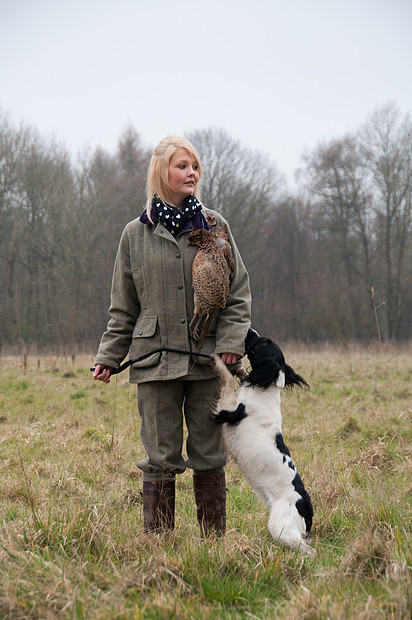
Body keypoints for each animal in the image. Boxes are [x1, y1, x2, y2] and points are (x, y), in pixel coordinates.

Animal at [214, 326, 314, 556]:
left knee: (308, 550)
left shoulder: (230, 412)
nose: (250, 329)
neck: (266, 389)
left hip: (280, 527)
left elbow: (226, 382)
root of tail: (305, 507)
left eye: (265, 342)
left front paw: (216, 360)